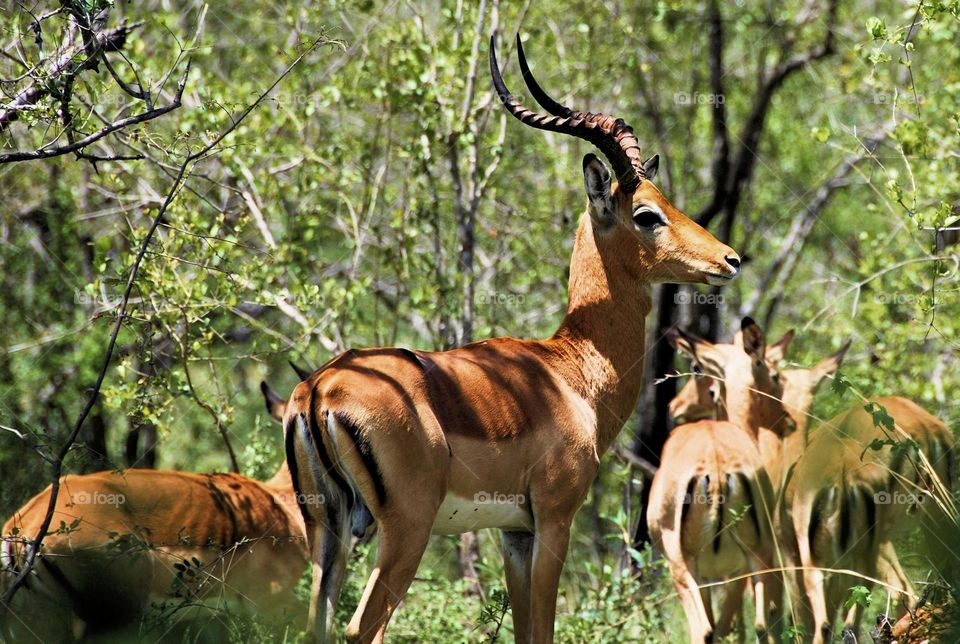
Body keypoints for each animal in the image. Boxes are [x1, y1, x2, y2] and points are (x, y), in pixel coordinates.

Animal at [282, 34, 741, 644]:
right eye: (647, 214)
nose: (729, 260)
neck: (571, 373)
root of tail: (321, 390)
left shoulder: (513, 534)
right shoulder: (553, 519)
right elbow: (543, 629)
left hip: (326, 529)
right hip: (406, 529)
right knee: (361, 627)